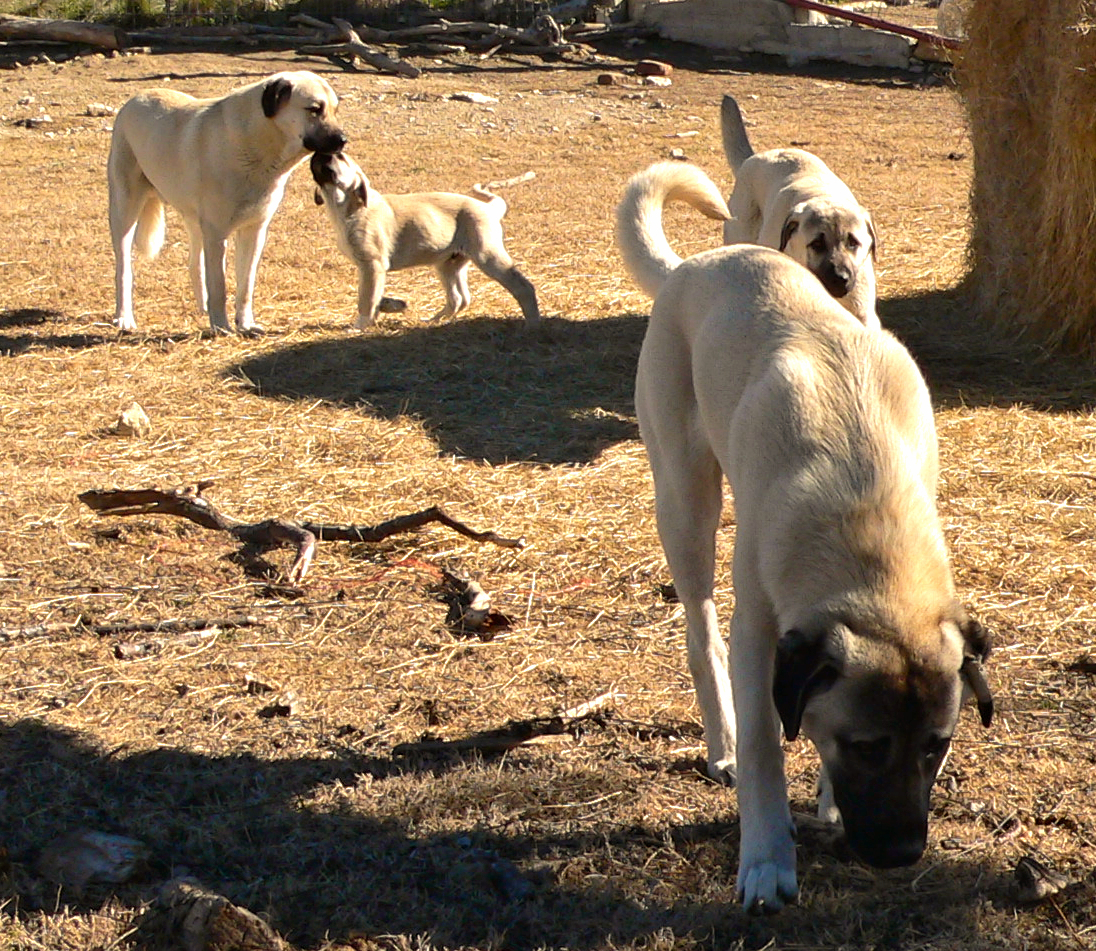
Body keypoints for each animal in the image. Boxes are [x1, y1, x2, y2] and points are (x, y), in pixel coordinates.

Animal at [107, 69, 344, 335]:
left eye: (335, 109)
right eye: (314, 109)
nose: (343, 140)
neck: (258, 143)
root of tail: (135, 98)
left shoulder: (254, 231)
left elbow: (246, 285)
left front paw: (246, 324)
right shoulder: (217, 234)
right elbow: (219, 286)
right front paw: (221, 326)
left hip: (193, 220)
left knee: (194, 263)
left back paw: (203, 307)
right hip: (124, 211)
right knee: (124, 270)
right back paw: (124, 318)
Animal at [311, 151, 541, 330]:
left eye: (340, 156)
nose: (319, 150)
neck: (347, 207)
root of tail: (488, 208)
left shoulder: (372, 265)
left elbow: (366, 300)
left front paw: (359, 326)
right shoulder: (373, 270)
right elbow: (376, 298)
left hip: (488, 256)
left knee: (523, 287)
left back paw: (532, 324)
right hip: (449, 264)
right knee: (459, 299)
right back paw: (433, 321)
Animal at [618, 163, 995, 915]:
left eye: (936, 746)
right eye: (866, 745)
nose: (902, 853)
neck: (863, 491)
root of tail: (694, 265)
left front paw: (824, 801)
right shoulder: (762, 629)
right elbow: (767, 742)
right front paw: (766, 860)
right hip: (686, 503)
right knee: (701, 633)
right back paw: (722, 746)